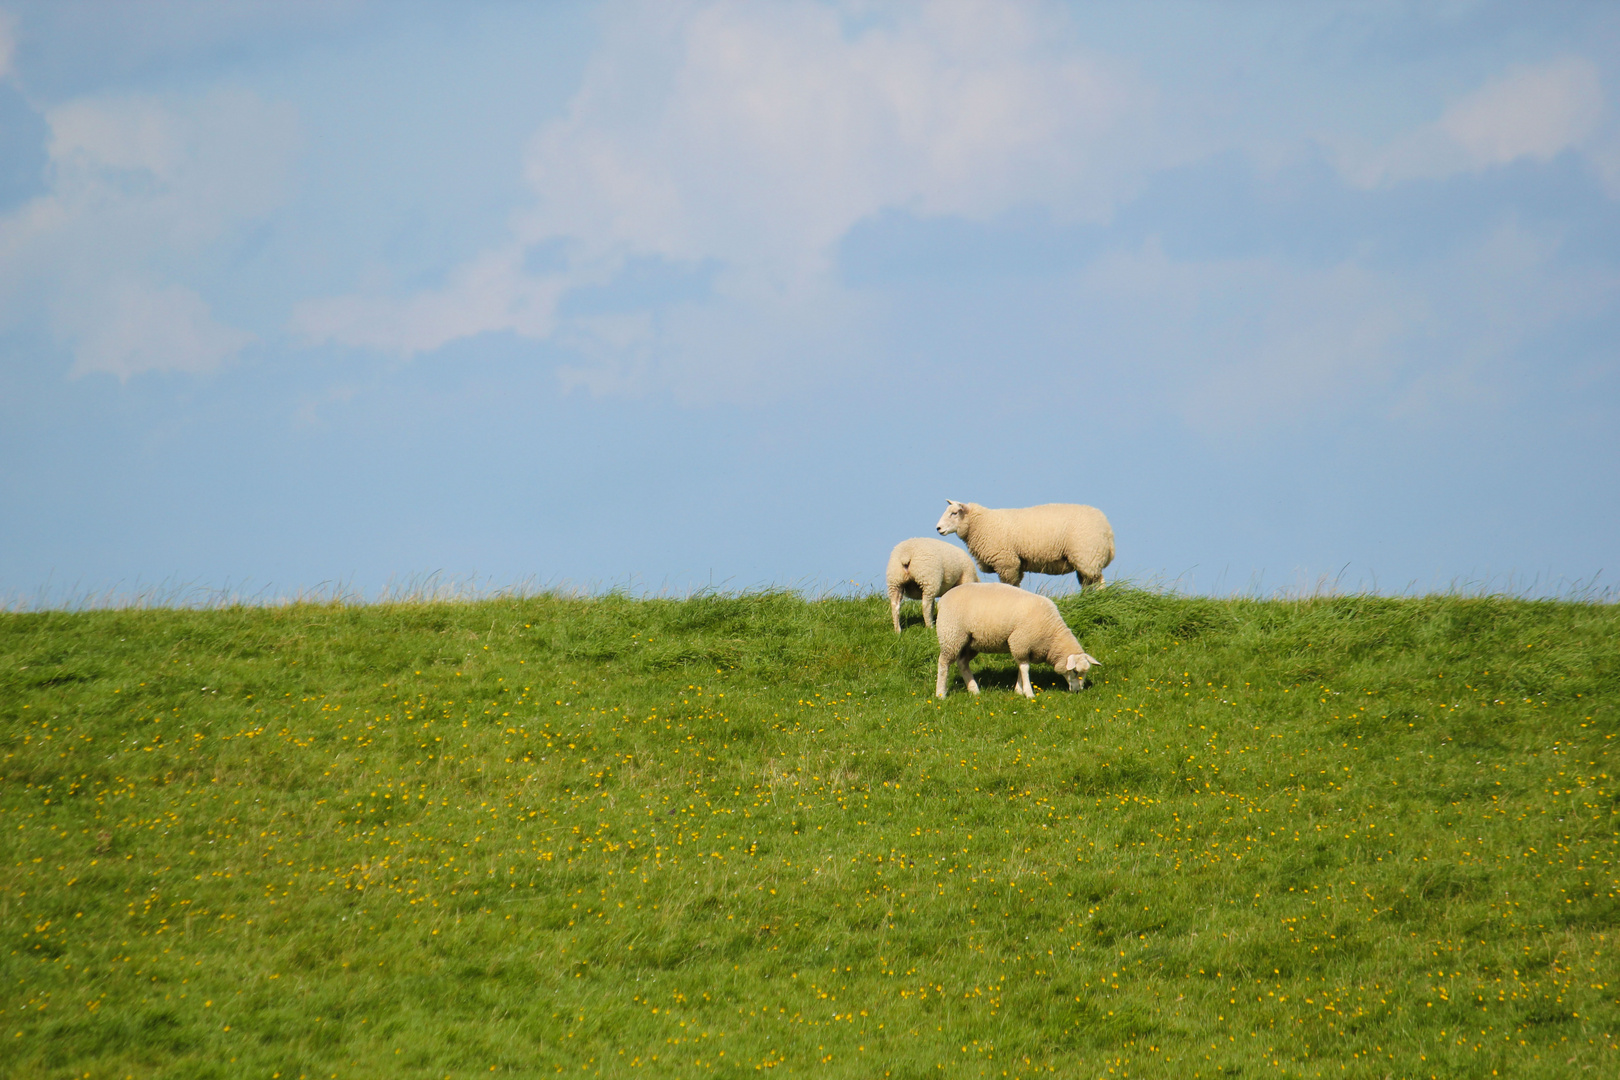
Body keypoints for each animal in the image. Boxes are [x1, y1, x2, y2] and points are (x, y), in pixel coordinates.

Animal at [939, 501, 1114, 592]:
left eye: (954, 513)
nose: (938, 528)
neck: (980, 524)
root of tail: (1107, 528)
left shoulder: (1006, 562)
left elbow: (1009, 585)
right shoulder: (1016, 564)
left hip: (1088, 555)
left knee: (1099, 581)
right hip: (1084, 559)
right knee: (1087, 583)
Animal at [939, 582, 1101, 702]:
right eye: (1075, 671)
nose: (1078, 691)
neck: (1052, 634)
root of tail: (943, 598)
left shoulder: (1023, 648)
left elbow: (1021, 668)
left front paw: (1018, 690)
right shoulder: (1021, 642)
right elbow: (1024, 669)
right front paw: (1028, 693)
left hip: (970, 642)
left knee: (962, 663)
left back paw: (974, 690)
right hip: (951, 635)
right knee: (943, 663)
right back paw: (940, 694)